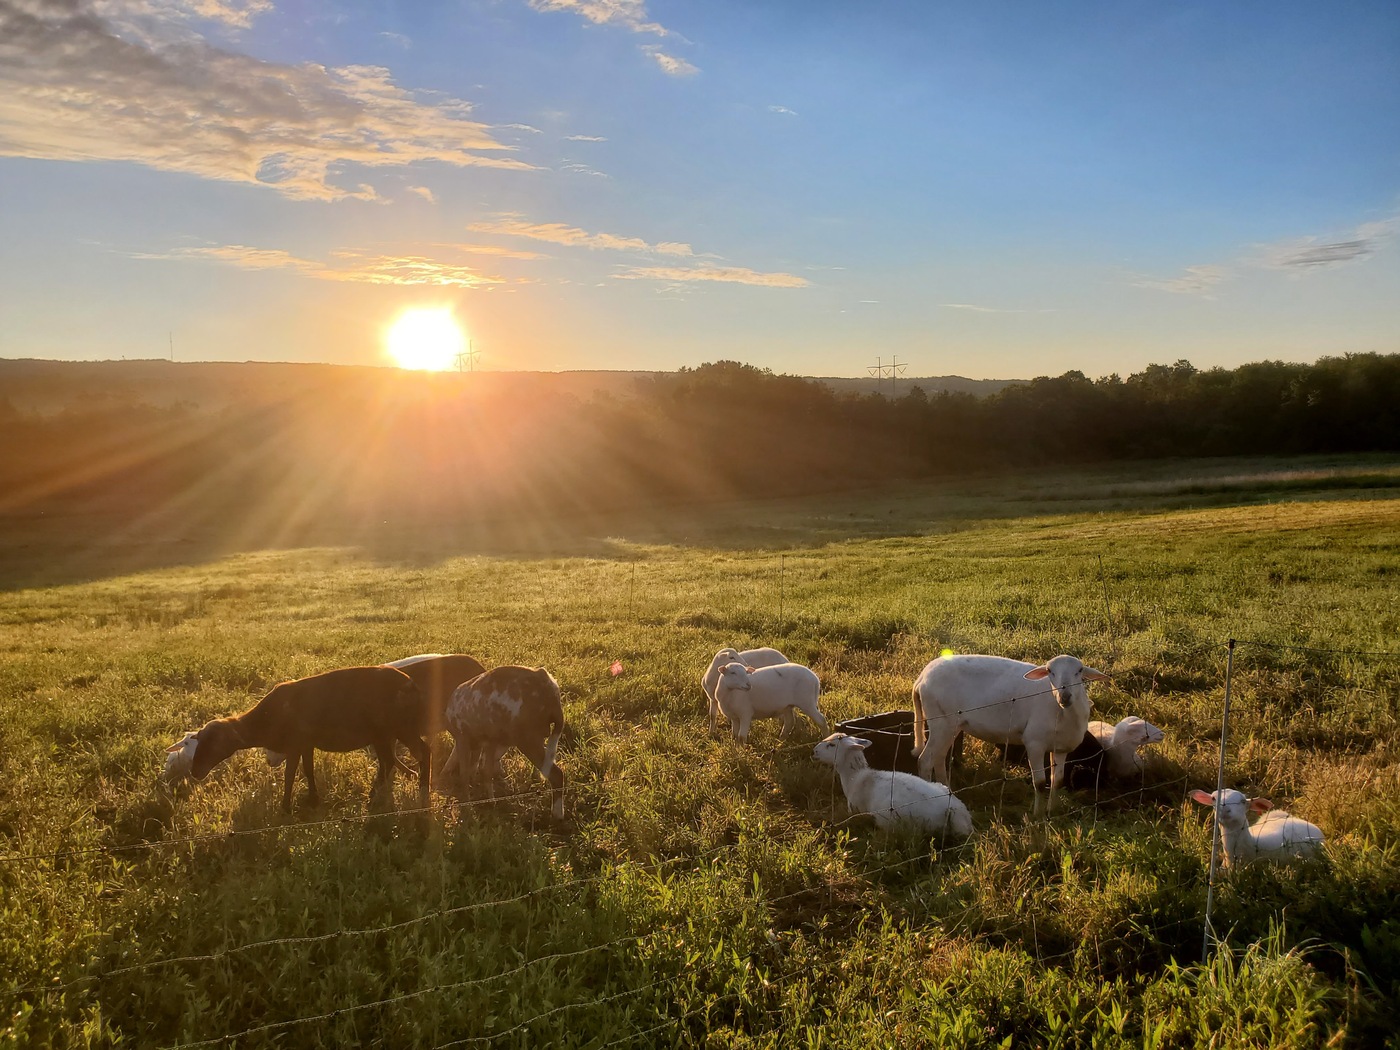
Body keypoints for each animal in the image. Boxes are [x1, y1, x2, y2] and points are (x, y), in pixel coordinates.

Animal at [163, 669, 428, 817]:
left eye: (212, 742)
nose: (196, 772)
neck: (265, 720)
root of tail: (413, 685)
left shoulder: (294, 744)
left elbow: (290, 774)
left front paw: (285, 807)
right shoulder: (305, 744)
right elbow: (308, 770)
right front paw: (313, 800)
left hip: (395, 729)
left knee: (416, 753)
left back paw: (417, 791)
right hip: (387, 733)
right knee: (395, 759)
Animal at [442, 666, 562, 823]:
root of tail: (549, 684)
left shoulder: (463, 737)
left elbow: (465, 774)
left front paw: (467, 809)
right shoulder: (490, 741)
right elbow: (484, 771)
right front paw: (489, 801)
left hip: (527, 739)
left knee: (557, 774)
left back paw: (557, 816)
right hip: (535, 737)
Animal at [812, 733, 974, 840]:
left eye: (832, 745)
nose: (814, 751)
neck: (857, 776)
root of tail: (954, 810)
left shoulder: (855, 809)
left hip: (898, 820)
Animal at [912, 655, 1108, 817]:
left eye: (1080, 670)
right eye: (1049, 671)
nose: (1065, 696)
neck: (1062, 711)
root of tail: (922, 677)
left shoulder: (1060, 748)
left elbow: (1057, 781)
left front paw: (1052, 811)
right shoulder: (1034, 743)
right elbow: (1040, 783)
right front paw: (1037, 816)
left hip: (950, 726)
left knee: (939, 757)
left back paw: (945, 791)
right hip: (941, 721)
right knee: (925, 760)